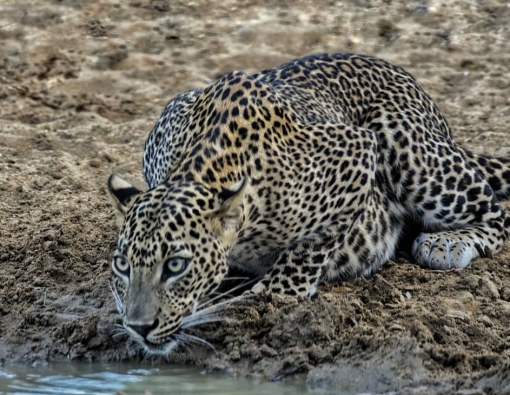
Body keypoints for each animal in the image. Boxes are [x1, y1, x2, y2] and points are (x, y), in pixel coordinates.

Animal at [107, 53, 510, 356]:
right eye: (123, 265)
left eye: (175, 266)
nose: (138, 327)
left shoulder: (356, 150)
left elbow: (310, 247)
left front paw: (271, 295)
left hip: (405, 147)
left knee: (495, 213)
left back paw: (445, 243)